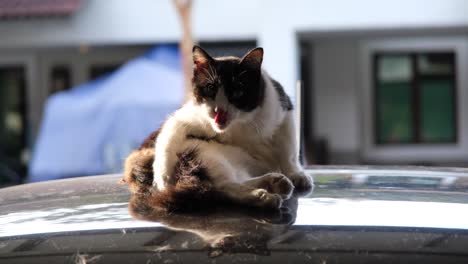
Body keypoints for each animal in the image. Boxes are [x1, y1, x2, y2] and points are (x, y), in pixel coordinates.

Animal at [124, 46, 314, 210]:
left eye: (237, 91)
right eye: (210, 89)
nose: (219, 110)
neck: (239, 127)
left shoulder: (284, 108)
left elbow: (288, 152)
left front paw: (296, 174)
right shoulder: (186, 117)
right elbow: (168, 137)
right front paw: (162, 178)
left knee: (231, 183)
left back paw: (275, 182)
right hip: (209, 156)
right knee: (221, 189)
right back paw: (264, 196)